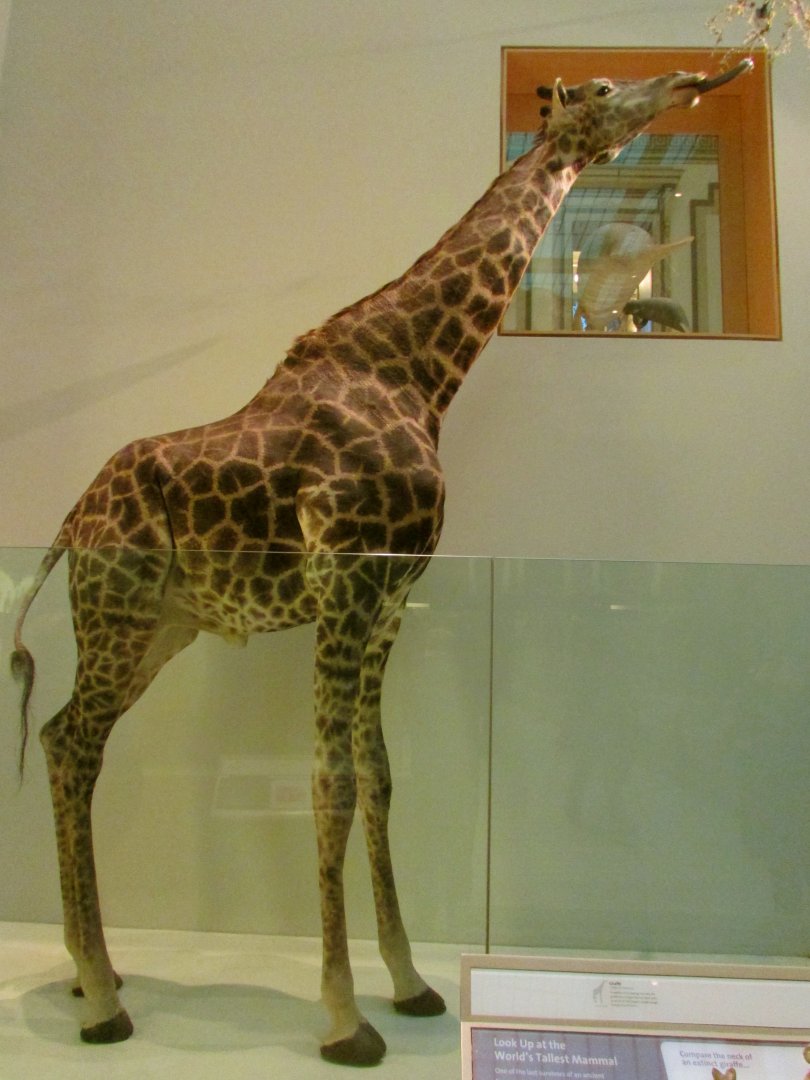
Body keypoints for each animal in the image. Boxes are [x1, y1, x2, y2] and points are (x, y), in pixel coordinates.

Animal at [10, 62, 748, 1067]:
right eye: (601, 88)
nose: (691, 78)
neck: (416, 372)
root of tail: (69, 519)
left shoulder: (393, 598)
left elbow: (384, 777)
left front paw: (408, 983)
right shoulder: (347, 585)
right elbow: (333, 783)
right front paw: (345, 1019)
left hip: (160, 627)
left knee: (61, 738)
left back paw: (102, 973)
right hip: (118, 613)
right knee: (74, 742)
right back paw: (97, 1000)